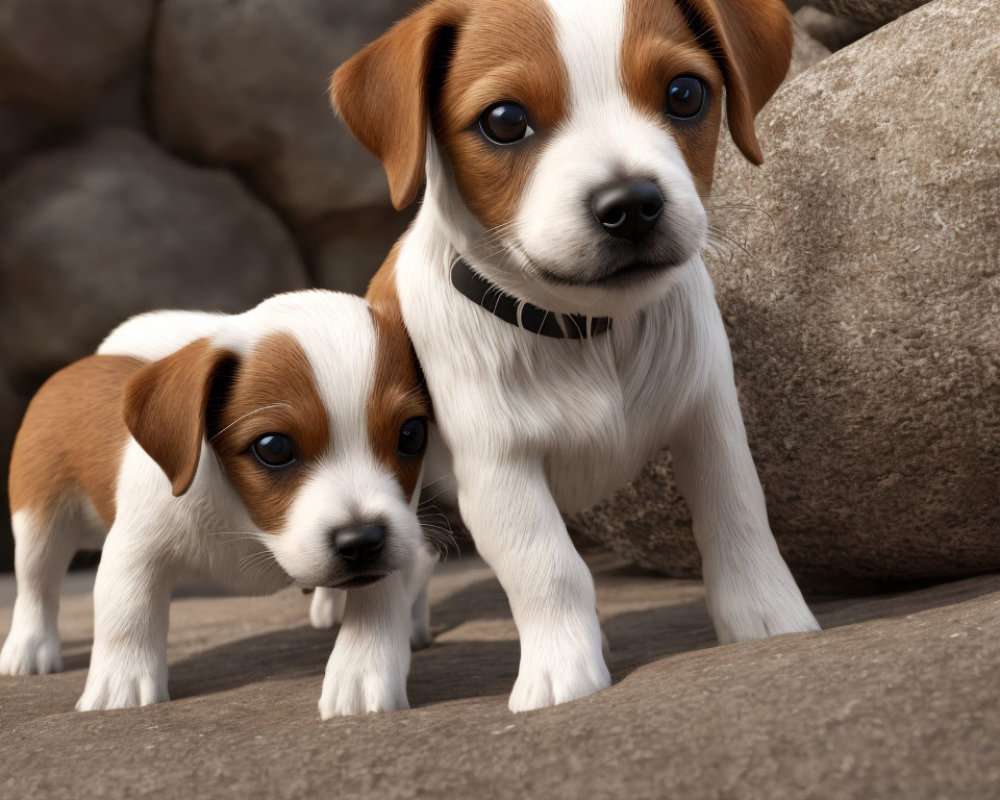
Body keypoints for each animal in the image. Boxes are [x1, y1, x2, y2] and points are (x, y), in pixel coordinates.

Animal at [2, 290, 434, 716]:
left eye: (411, 435)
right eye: (273, 448)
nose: (361, 542)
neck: (248, 525)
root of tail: (85, 363)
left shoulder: (392, 541)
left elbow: (380, 598)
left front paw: (363, 667)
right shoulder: (136, 548)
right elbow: (127, 612)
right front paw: (120, 686)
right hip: (40, 522)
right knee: (37, 583)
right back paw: (28, 647)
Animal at [336, 0, 820, 712]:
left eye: (685, 94)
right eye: (505, 120)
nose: (633, 205)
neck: (590, 332)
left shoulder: (709, 419)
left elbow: (738, 515)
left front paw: (768, 617)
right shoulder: (499, 470)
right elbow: (548, 567)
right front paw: (563, 667)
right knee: (384, 570)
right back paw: (362, 666)